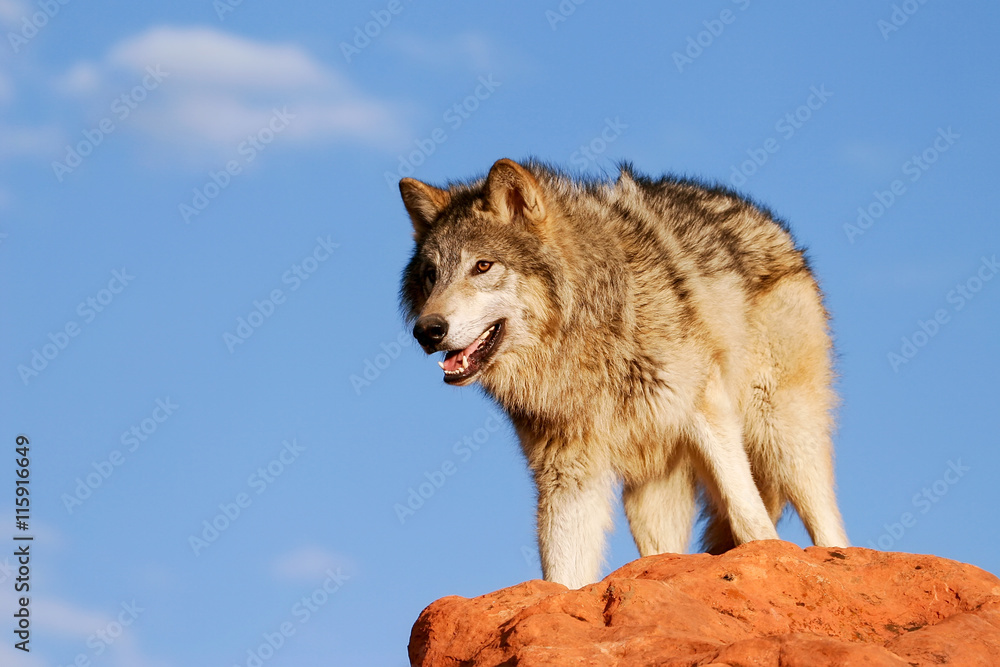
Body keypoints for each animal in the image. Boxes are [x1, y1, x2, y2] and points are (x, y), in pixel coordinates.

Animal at [398, 158, 848, 589]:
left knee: (831, 529)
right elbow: (563, 573)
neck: (586, 333)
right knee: (662, 555)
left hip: (782, 433)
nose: (427, 330)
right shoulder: (567, 473)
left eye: (483, 266)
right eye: (431, 274)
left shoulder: (705, 408)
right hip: (652, 491)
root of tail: (775, 229)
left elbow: (751, 517)